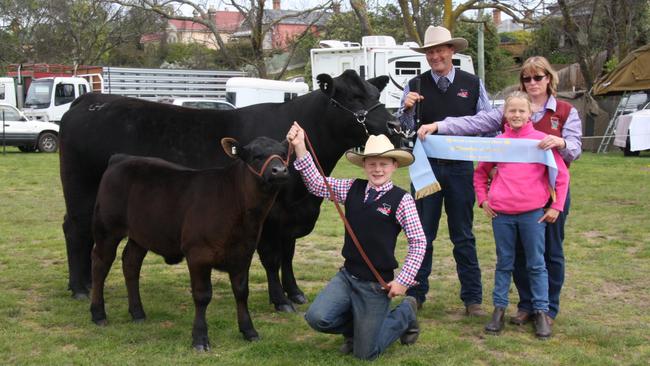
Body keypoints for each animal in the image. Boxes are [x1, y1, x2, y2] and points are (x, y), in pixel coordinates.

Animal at [59, 69, 400, 312]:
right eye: (353, 97)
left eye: (374, 93)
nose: (394, 125)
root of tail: (88, 100)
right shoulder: (269, 218)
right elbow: (273, 259)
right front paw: (280, 300)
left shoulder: (291, 216)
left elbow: (288, 256)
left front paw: (295, 293)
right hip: (82, 191)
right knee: (76, 229)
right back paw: (79, 287)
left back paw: (86, 283)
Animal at [90, 136, 288, 350]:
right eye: (256, 156)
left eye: (284, 154)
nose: (279, 170)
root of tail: (121, 158)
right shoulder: (198, 254)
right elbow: (202, 296)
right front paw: (200, 338)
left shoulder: (244, 253)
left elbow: (242, 292)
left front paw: (249, 331)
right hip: (107, 228)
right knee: (100, 264)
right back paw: (98, 314)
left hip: (140, 234)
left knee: (131, 264)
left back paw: (138, 313)